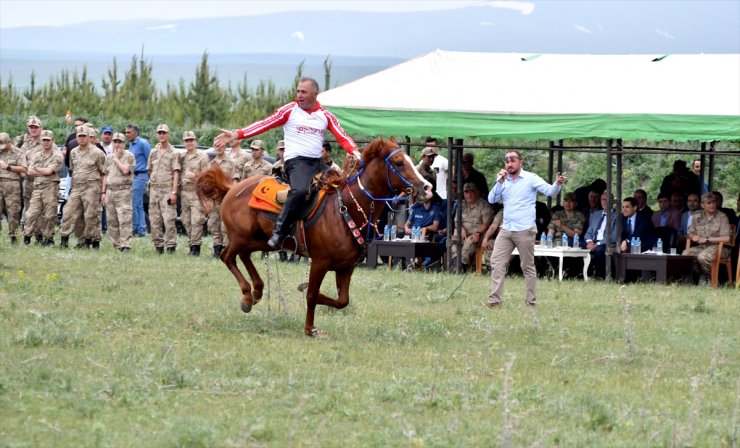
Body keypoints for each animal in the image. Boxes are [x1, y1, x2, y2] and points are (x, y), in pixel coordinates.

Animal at [195, 137, 434, 336]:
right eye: (398, 162)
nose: (427, 187)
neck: (345, 209)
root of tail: (232, 188)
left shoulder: (346, 267)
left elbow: (342, 300)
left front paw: (303, 291)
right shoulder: (319, 263)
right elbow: (312, 294)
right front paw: (309, 329)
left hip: (261, 241)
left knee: (243, 256)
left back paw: (257, 291)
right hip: (240, 237)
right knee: (227, 256)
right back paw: (247, 295)